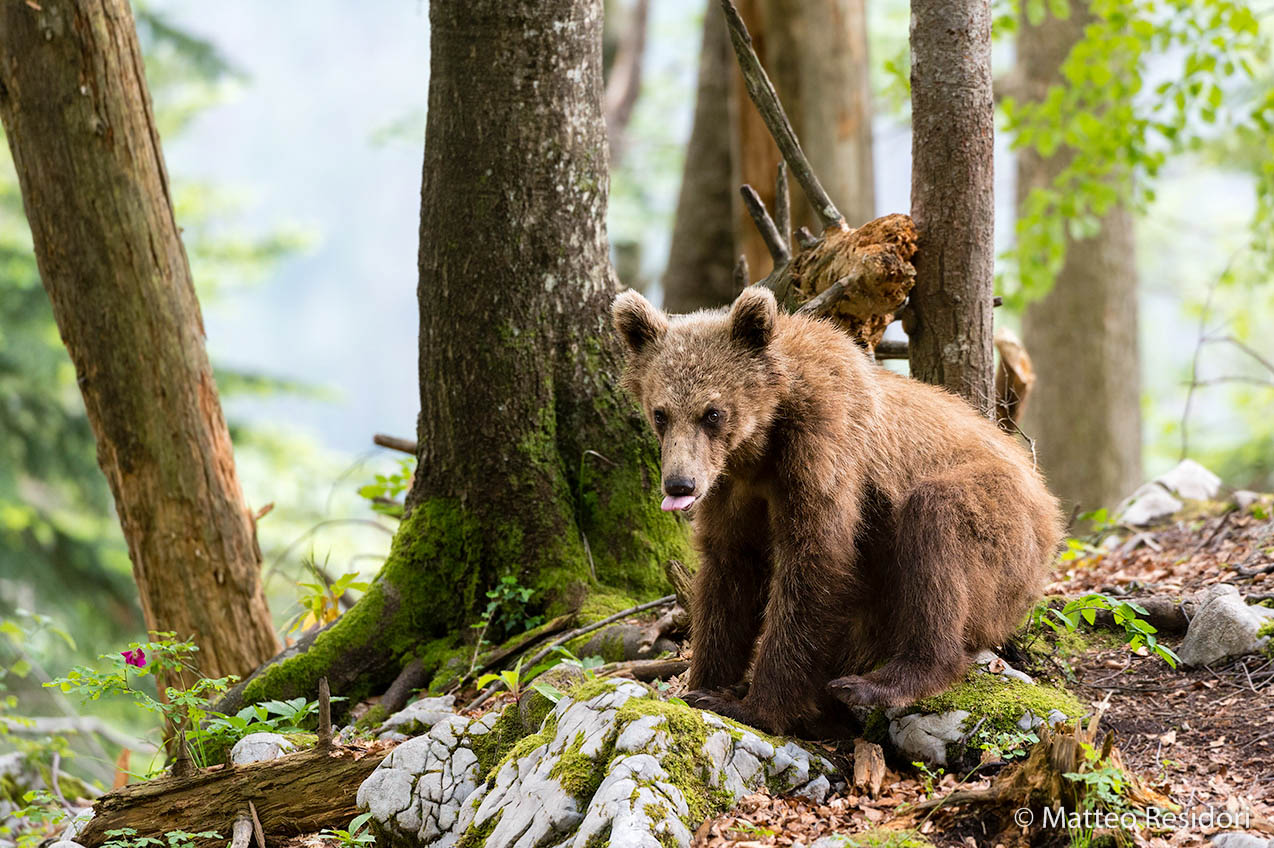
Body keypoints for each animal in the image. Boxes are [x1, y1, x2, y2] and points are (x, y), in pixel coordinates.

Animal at [611, 284, 1063, 736]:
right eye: (661, 414)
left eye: (713, 412)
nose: (680, 484)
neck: (761, 442)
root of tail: (1048, 505)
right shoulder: (731, 488)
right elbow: (730, 571)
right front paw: (704, 685)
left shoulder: (825, 447)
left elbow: (816, 560)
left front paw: (755, 706)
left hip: (1003, 527)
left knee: (936, 529)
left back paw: (877, 682)